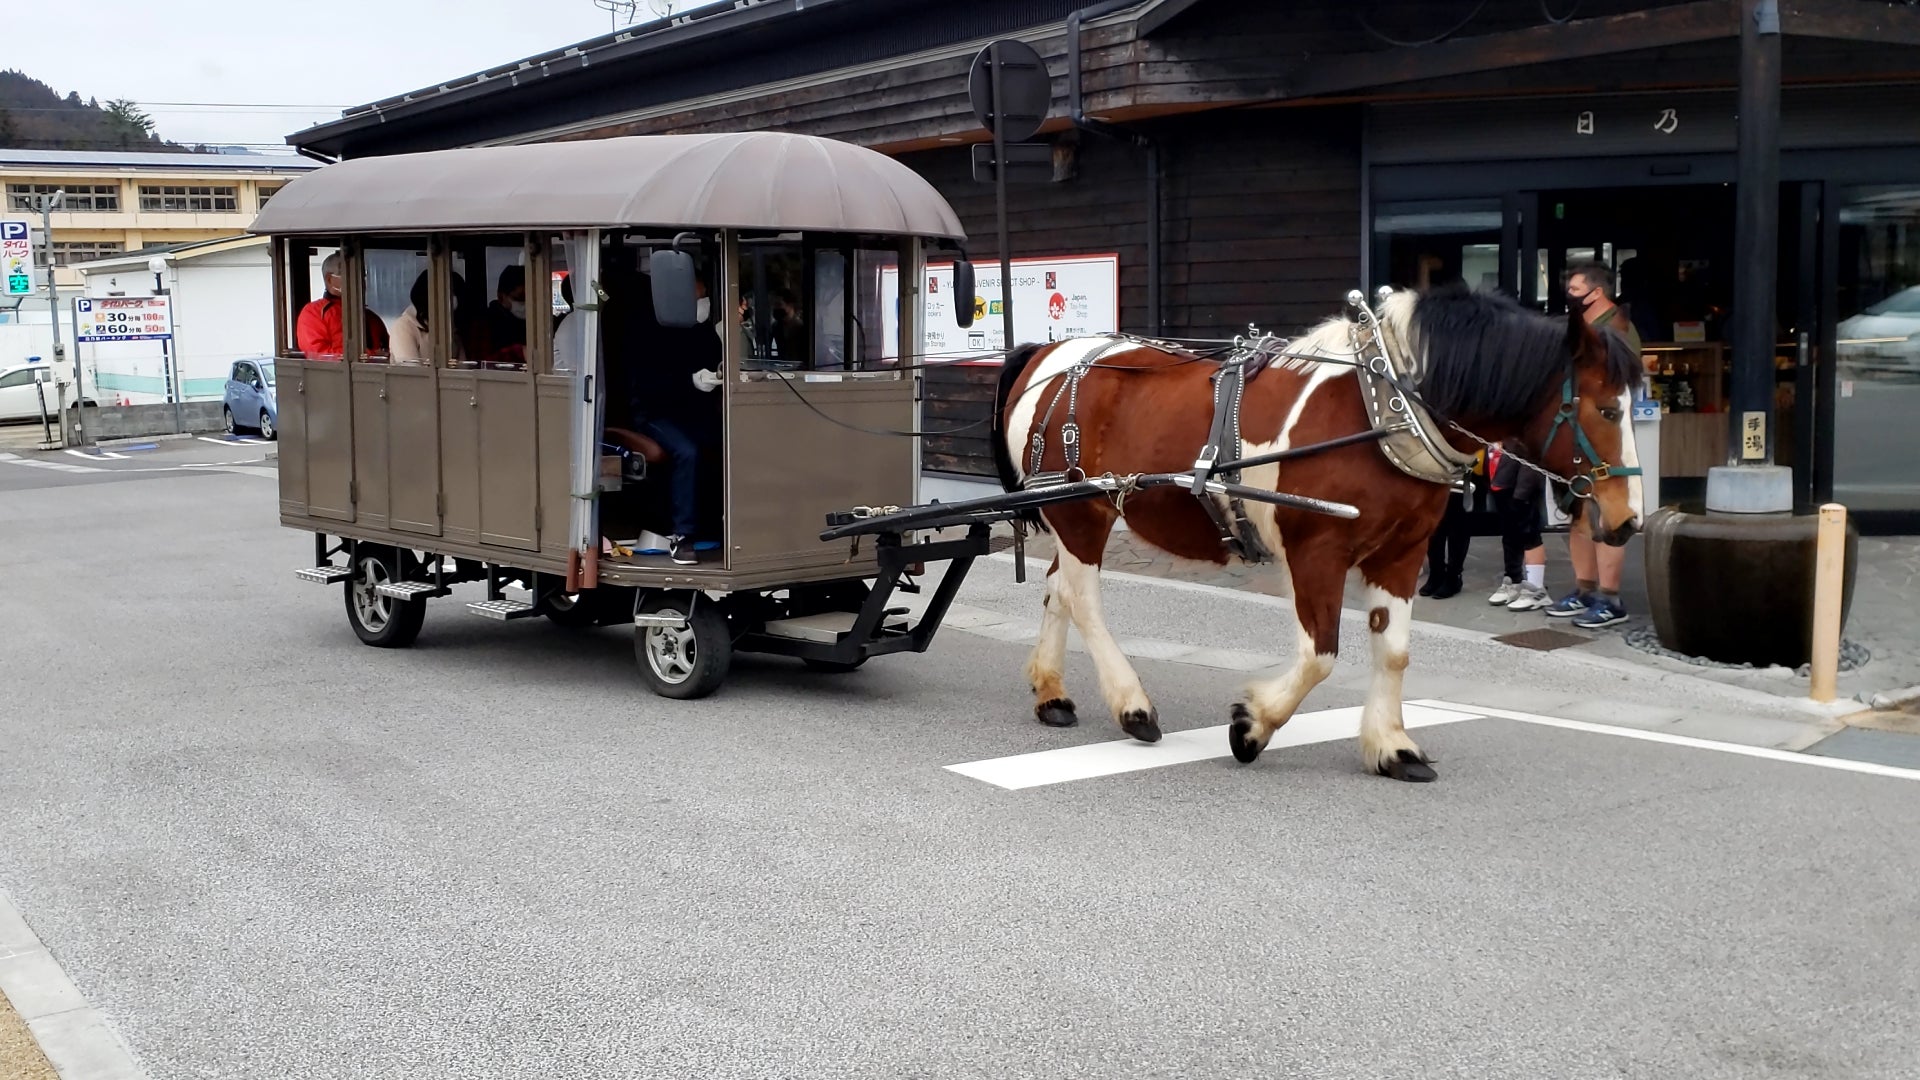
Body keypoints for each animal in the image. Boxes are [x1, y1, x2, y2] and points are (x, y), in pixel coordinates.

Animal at [988, 284, 1645, 783]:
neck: (1382, 411)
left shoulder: (1402, 553)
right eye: (1608, 410)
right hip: (1083, 511)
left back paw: (1052, 693)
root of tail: (1051, 355)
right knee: (1083, 599)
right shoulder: (1317, 551)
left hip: (1070, 509)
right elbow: (1320, 654)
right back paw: (1133, 706)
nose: (1630, 520)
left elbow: (1393, 650)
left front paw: (1393, 746)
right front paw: (1252, 726)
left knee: (1058, 589)